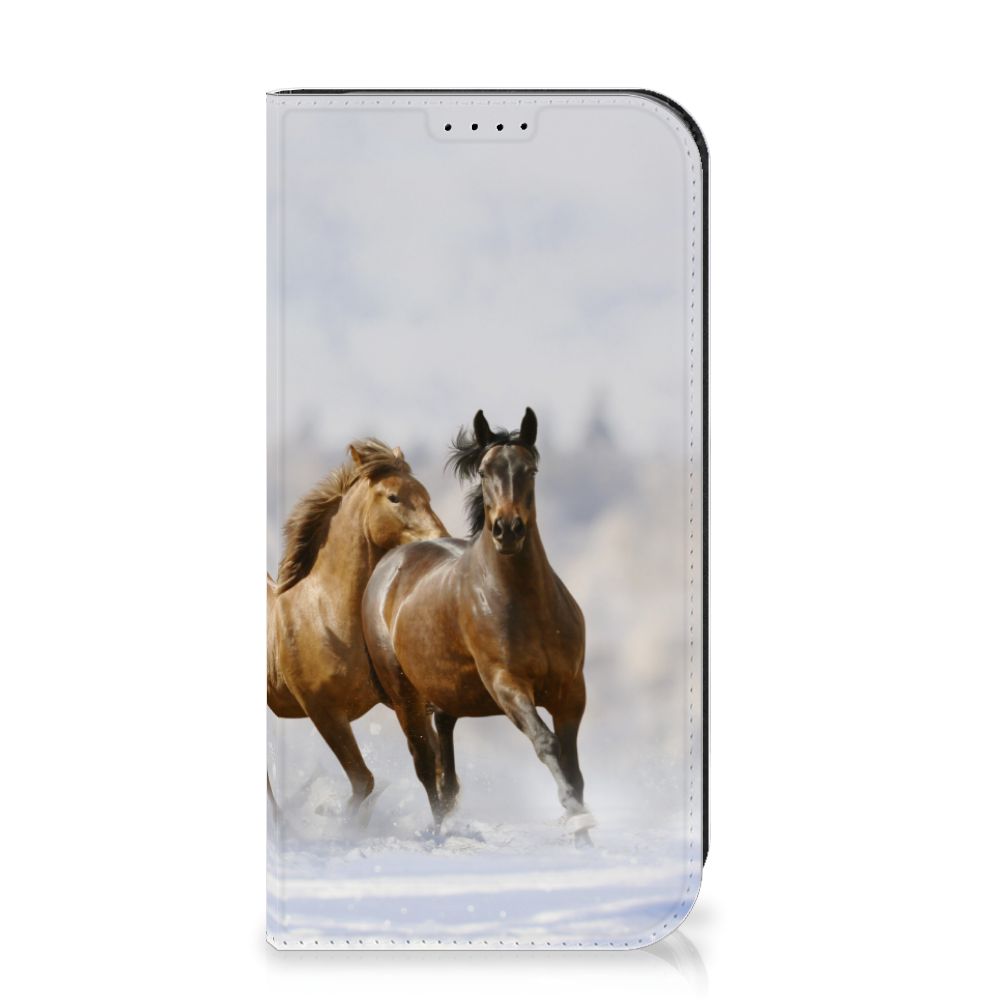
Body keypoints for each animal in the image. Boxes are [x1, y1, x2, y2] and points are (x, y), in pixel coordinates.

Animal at [268, 439, 448, 815]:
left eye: (425, 494)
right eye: (394, 497)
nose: (440, 539)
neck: (326, 616)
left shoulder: (403, 701)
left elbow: (433, 768)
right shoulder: (324, 712)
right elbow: (364, 781)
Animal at [361, 408, 594, 844]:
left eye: (530, 469)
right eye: (485, 472)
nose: (508, 529)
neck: (527, 605)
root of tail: (389, 564)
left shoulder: (571, 690)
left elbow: (573, 765)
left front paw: (584, 834)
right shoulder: (506, 684)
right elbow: (547, 744)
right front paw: (576, 818)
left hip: (446, 694)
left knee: (445, 766)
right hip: (405, 697)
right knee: (425, 765)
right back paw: (439, 834)